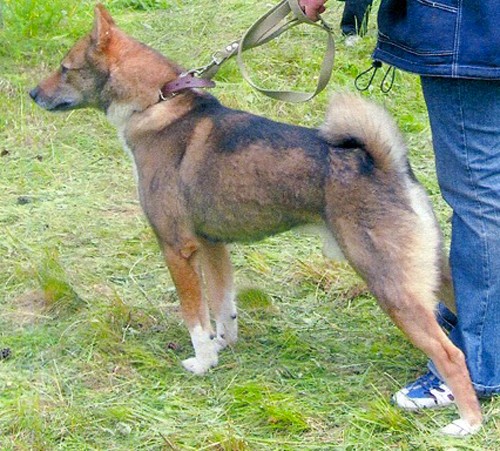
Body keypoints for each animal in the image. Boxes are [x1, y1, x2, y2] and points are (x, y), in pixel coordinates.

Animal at [30, 4, 482, 434]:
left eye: (65, 68)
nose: (34, 93)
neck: (158, 104)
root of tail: (389, 166)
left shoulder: (178, 249)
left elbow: (196, 318)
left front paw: (202, 361)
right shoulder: (212, 245)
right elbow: (222, 306)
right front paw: (221, 347)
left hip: (392, 285)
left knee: (452, 354)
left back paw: (467, 423)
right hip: (432, 274)